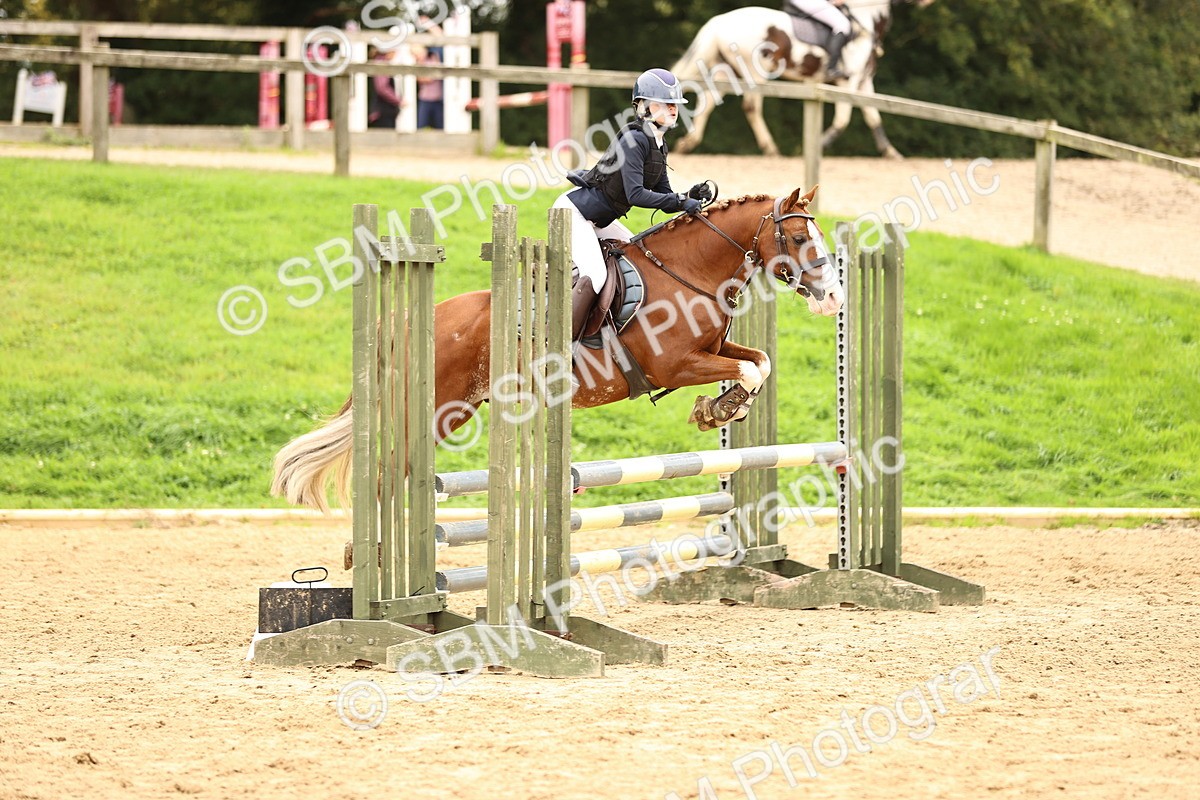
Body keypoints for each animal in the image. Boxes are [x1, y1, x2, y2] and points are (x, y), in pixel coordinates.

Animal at [271, 186, 844, 513]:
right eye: (798, 239)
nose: (834, 298)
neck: (691, 272)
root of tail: (414, 317)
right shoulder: (677, 365)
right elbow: (746, 372)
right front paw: (717, 409)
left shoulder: (716, 347)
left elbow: (758, 363)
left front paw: (719, 409)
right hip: (436, 409)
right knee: (388, 468)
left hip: (458, 408)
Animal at [671, 0, 934, 159]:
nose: (927, 3)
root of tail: (719, 22)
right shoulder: (848, 83)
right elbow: (843, 120)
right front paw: (817, 145)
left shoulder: (864, 83)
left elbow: (873, 118)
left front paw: (891, 153)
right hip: (755, 72)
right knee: (751, 107)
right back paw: (771, 149)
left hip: (727, 71)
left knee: (708, 101)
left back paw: (687, 144)